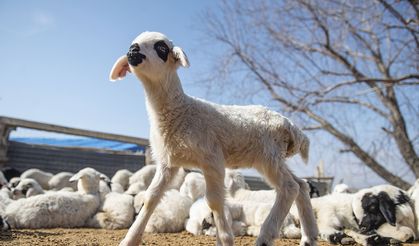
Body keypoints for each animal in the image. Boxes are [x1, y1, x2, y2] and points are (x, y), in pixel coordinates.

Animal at [111, 30, 318, 246]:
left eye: (161, 48)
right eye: (134, 43)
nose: (132, 50)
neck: (181, 111)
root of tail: (289, 125)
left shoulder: (212, 159)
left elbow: (214, 201)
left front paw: (225, 238)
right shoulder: (169, 163)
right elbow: (151, 197)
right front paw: (129, 240)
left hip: (268, 156)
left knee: (289, 187)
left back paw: (265, 236)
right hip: (273, 158)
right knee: (301, 184)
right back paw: (309, 237)